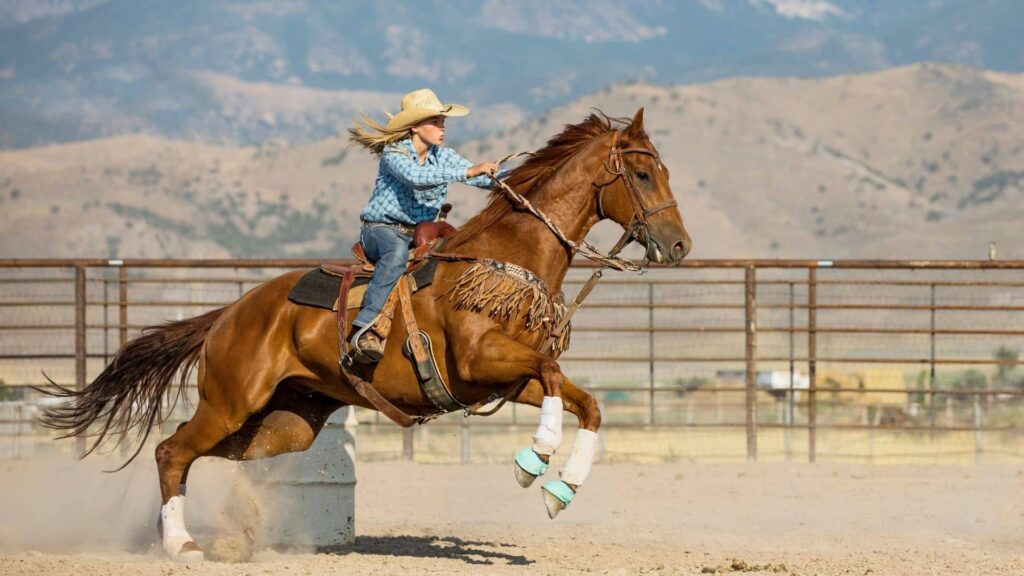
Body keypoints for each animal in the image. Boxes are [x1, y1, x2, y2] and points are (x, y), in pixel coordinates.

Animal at [44, 107, 692, 557]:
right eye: (641, 173)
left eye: (664, 170)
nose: (681, 245)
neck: (508, 257)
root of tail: (230, 314)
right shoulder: (482, 363)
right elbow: (555, 374)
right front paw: (532, 460)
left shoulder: (506, 382)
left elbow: (588, 403)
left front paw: (561, 489)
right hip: (231, 401)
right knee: (170, 449)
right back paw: (181, 545)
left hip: (283, 424)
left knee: (190, 452)